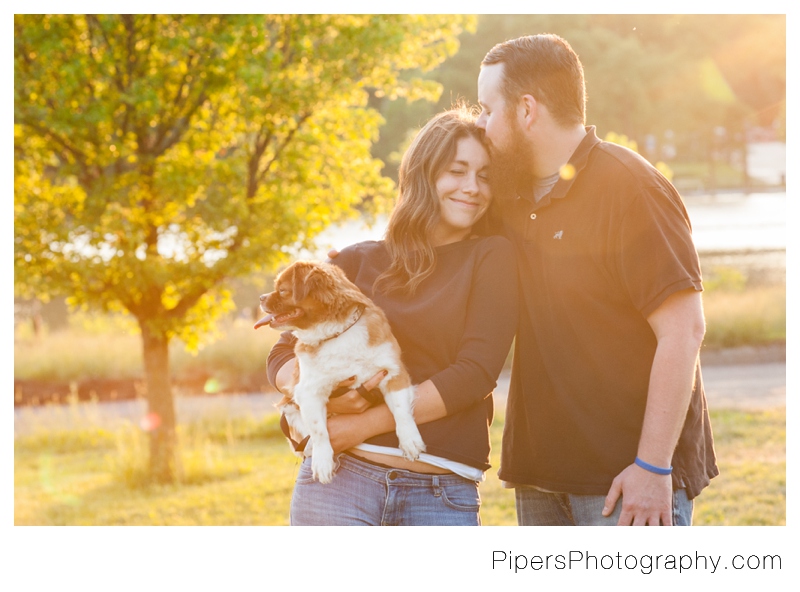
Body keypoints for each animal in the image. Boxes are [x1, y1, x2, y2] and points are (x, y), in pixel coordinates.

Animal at [258, 262, 428, 484]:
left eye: (282, 290)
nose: (261, 297)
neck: (337, 334)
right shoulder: (309, 393)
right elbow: (319, 431)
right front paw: (322, 462)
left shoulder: (393, 373)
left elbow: (401, 411)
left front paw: (410, 440)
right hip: (290, 409)